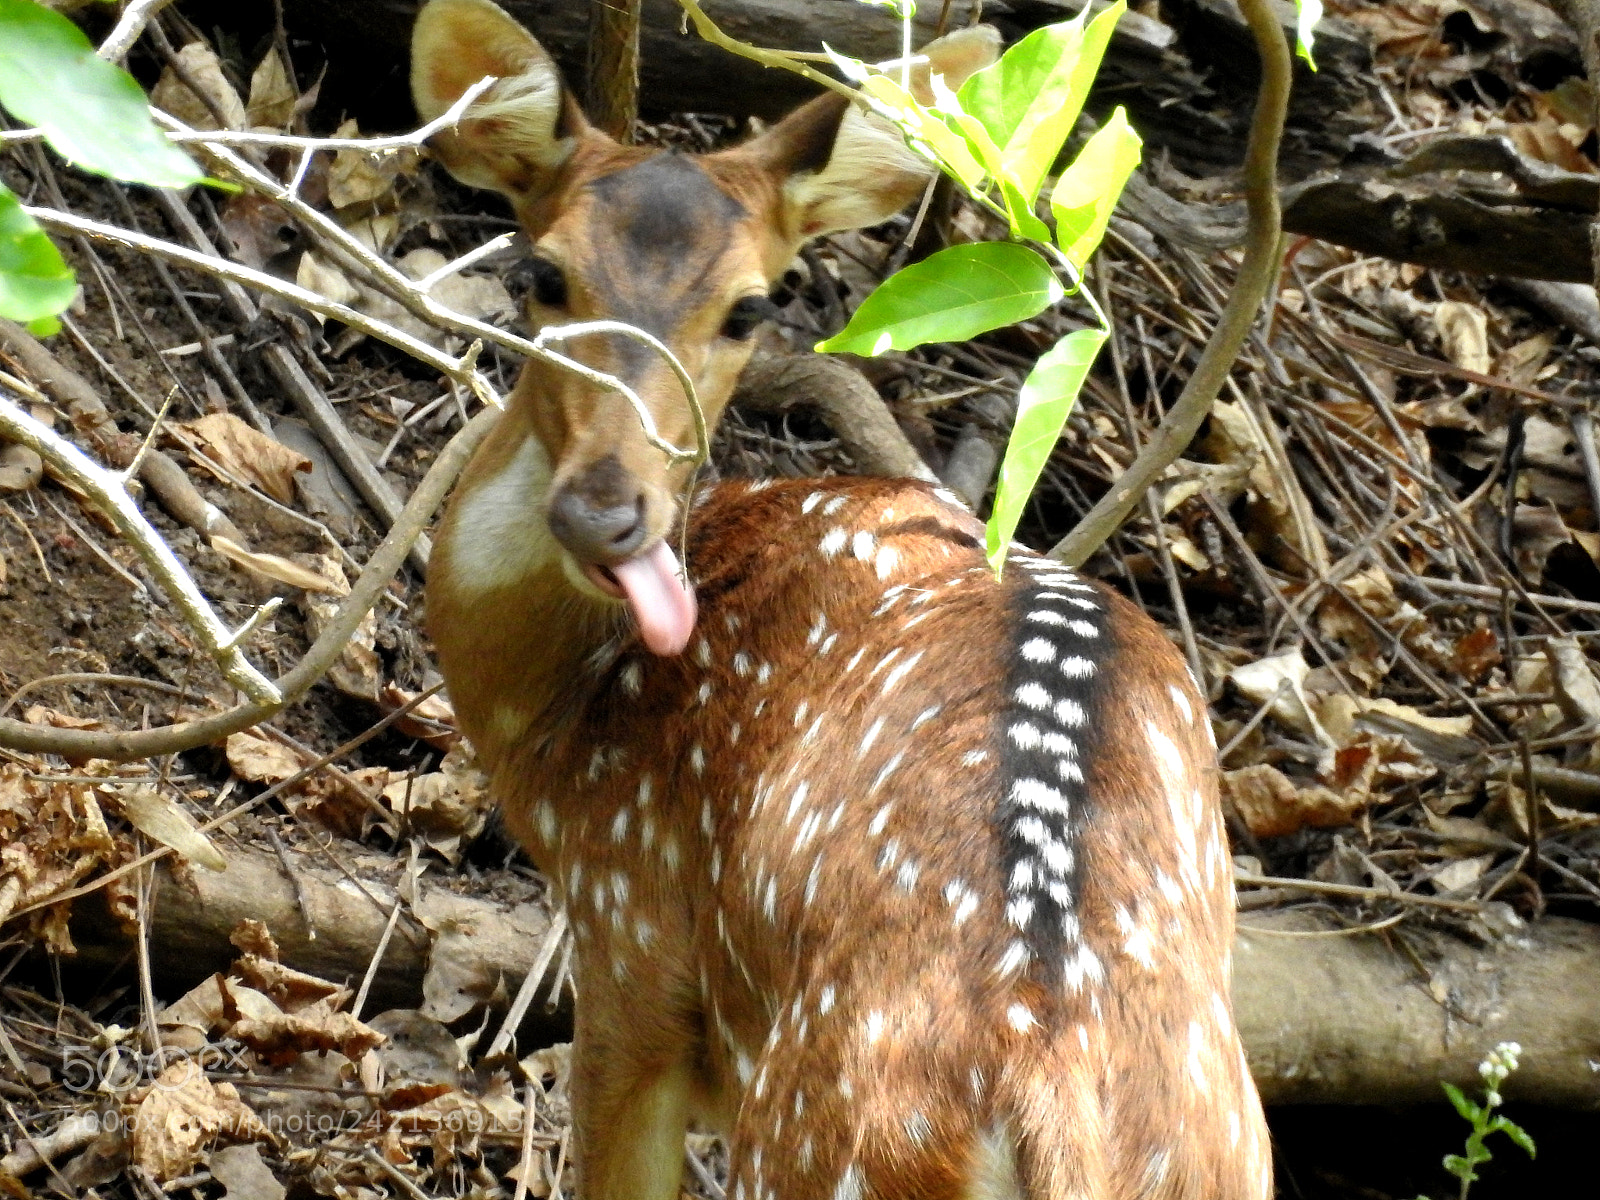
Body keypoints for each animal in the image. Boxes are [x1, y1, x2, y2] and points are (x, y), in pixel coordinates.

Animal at [412, 1, 1270, 1198]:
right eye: (542, 273)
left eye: (750, 307)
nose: (604, 511)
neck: (558, 722)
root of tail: (1043, 1086)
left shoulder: (630, 932)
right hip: (1226, 1151)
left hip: (818, 1137)